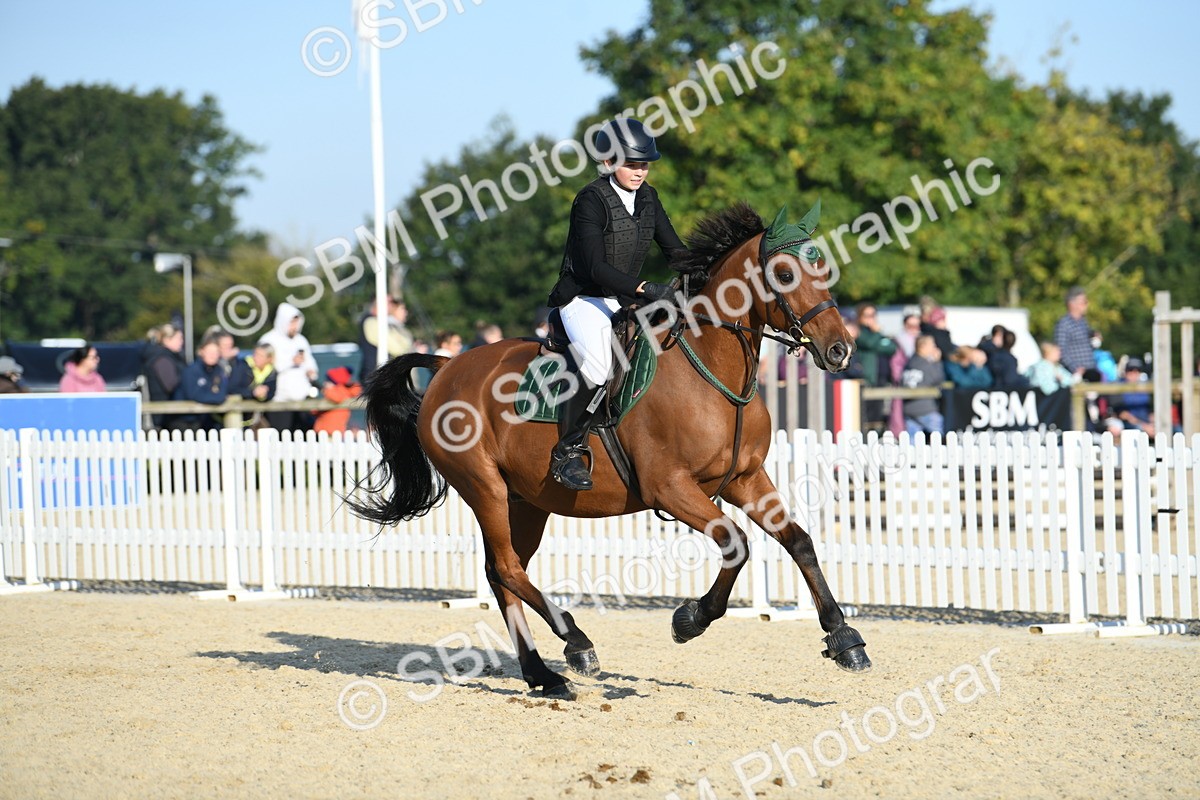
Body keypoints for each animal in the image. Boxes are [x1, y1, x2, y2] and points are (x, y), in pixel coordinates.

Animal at [350, 201, 871, 700]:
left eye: (822, 268)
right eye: (783, 274)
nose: (840, 351)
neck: (710, 369)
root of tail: (446, 368)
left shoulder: (745, 480)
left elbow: (799, 541)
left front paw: (844, 638)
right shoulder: (670, 488)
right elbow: (736, 543)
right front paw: (690, 619)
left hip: (527, 501)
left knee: (503, 574)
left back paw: (544, 675)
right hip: (485, 489)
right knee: (507, 568)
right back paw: (576, 643)